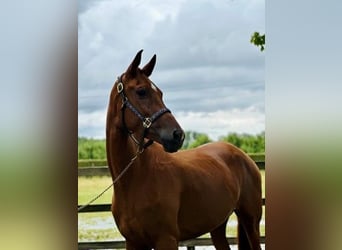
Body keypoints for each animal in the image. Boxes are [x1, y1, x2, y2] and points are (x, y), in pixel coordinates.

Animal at [107, 49, 262, 249]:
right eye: (141, 91)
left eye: (161, 93)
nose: (177, 135)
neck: (134, 179)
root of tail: (245, 157)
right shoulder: (133, 243)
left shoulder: (167, 239)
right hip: (217, 225)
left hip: (251, 221)